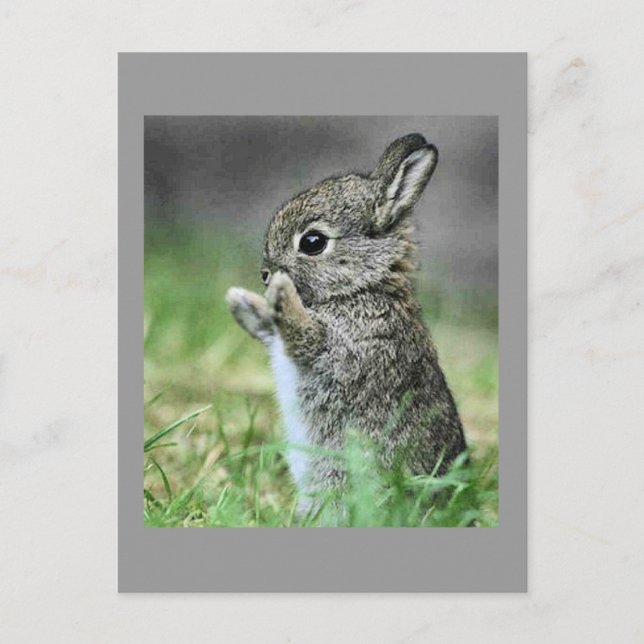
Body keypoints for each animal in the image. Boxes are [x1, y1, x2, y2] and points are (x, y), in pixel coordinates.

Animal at [226, 133, 467, 509]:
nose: (266, 273)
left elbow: (304, 335)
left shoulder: (344, 349)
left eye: (313, 242)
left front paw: (280, 292)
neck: (361, 287)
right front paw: (241, 301)